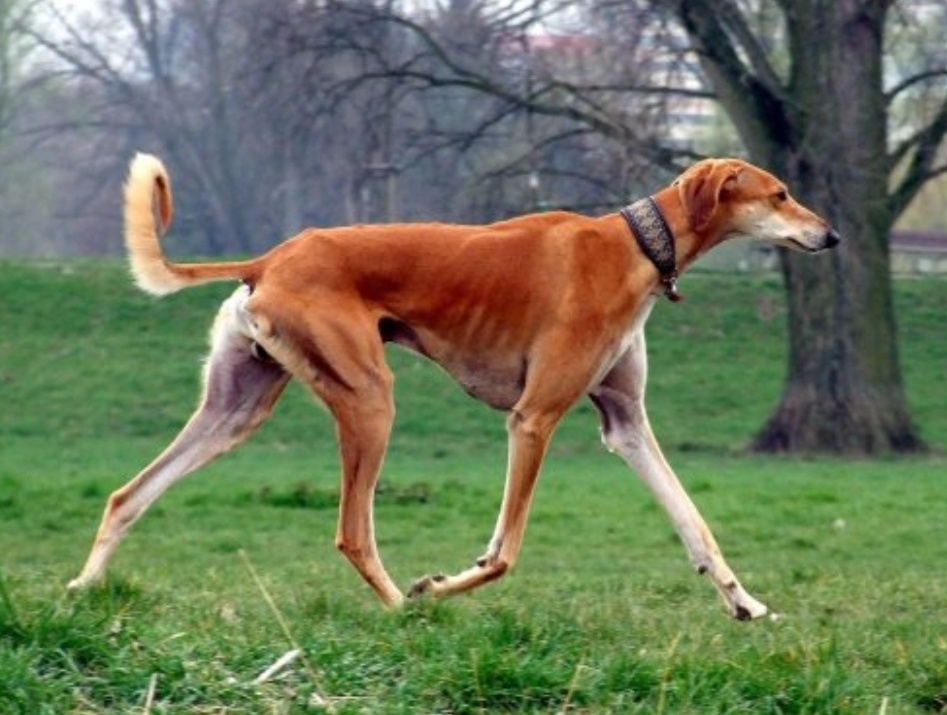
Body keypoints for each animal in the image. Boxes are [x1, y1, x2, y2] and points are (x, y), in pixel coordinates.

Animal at [65, 155, 836, 620]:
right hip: (369, 399)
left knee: (128, 495)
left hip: (236, 408)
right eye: (779, 193)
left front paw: (745, 602)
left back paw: (81, 587)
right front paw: (437, 584)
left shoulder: (626, 424)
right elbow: (502, 552)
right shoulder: (532, 418)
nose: (830, 235)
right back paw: (404, 608)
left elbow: (693, 521)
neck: (633, 245)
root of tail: (268, 259)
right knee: (353, 533)